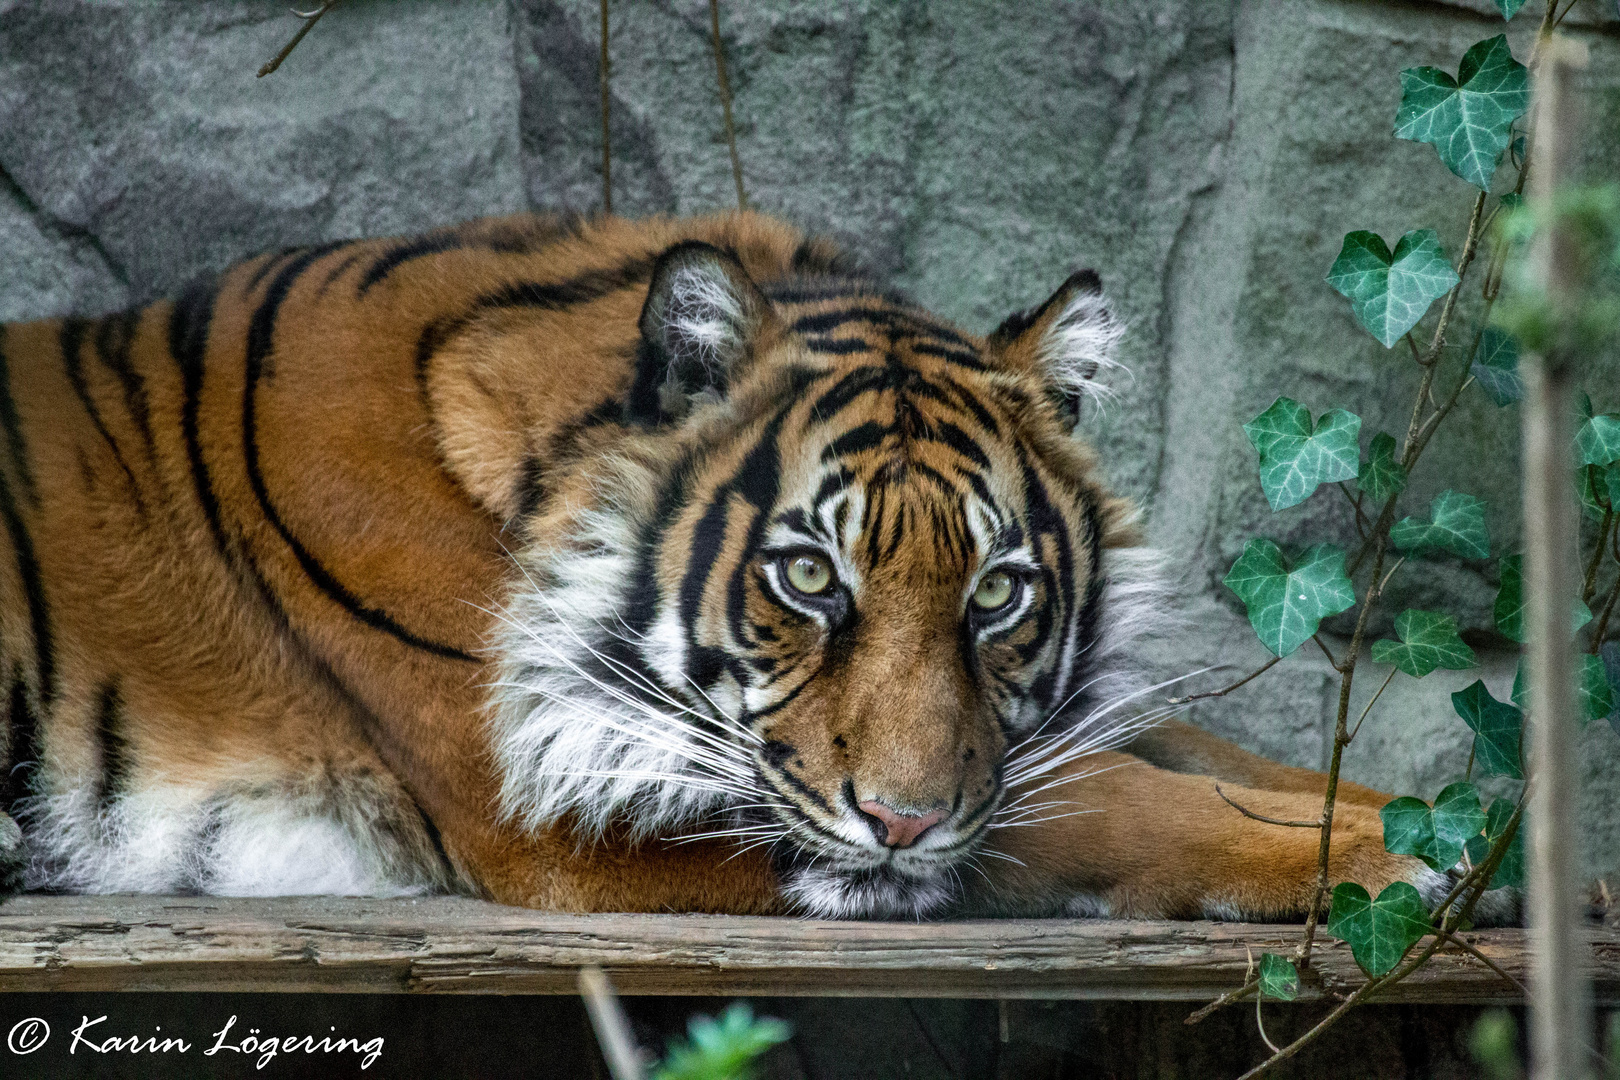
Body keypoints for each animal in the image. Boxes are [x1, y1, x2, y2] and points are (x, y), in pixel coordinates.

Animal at [0, 210, 1490, 919]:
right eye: (811, 580)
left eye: (997, 592)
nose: (902, 823)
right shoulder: (576, 799)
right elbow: (1112, 797)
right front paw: (1391, 861)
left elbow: (1197, 750)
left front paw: (1447, 817)